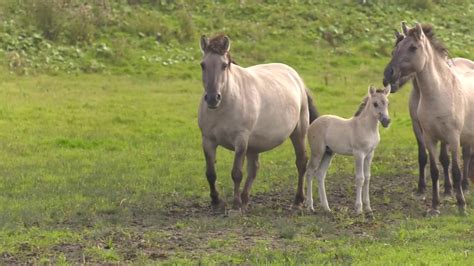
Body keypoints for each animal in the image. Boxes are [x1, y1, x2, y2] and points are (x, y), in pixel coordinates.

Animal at [197, 34, 318, 211]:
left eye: (224, 65)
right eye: (203, 65)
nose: (213, 98)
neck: (224, 106)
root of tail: (297, 79)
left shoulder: (241, 140)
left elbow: (236, 173)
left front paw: (235, 205)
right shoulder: (208, 141)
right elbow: (210, 173)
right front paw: (216, 201)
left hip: (298, 132)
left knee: (301, 162)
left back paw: (298, 200)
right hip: (254, 144)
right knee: (254, 168)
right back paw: (245, 199)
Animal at [306, 86, 390, 215]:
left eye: (387, 103)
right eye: (375, 104)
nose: (386, 121)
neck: (366, 128)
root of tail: (312, 124)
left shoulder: (370, 154)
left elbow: (368, 178)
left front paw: (368, 208)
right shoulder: (359, 154)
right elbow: (360, 178)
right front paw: (359, 209)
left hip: (328, 153)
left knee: (320, 174)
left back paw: (326, 208)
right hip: (317, 152)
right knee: (310, 172)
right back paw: (310, 207)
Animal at [382, 22, 474, 214]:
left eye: (413, 48)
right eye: (395, 50)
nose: (387, 75)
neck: (439, 94)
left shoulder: (453, 138)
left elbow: (455, 169)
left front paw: (461, 205)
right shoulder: (429, 137)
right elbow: (433, 170)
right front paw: (434, 206)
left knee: (467, 156)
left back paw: (464, 186)